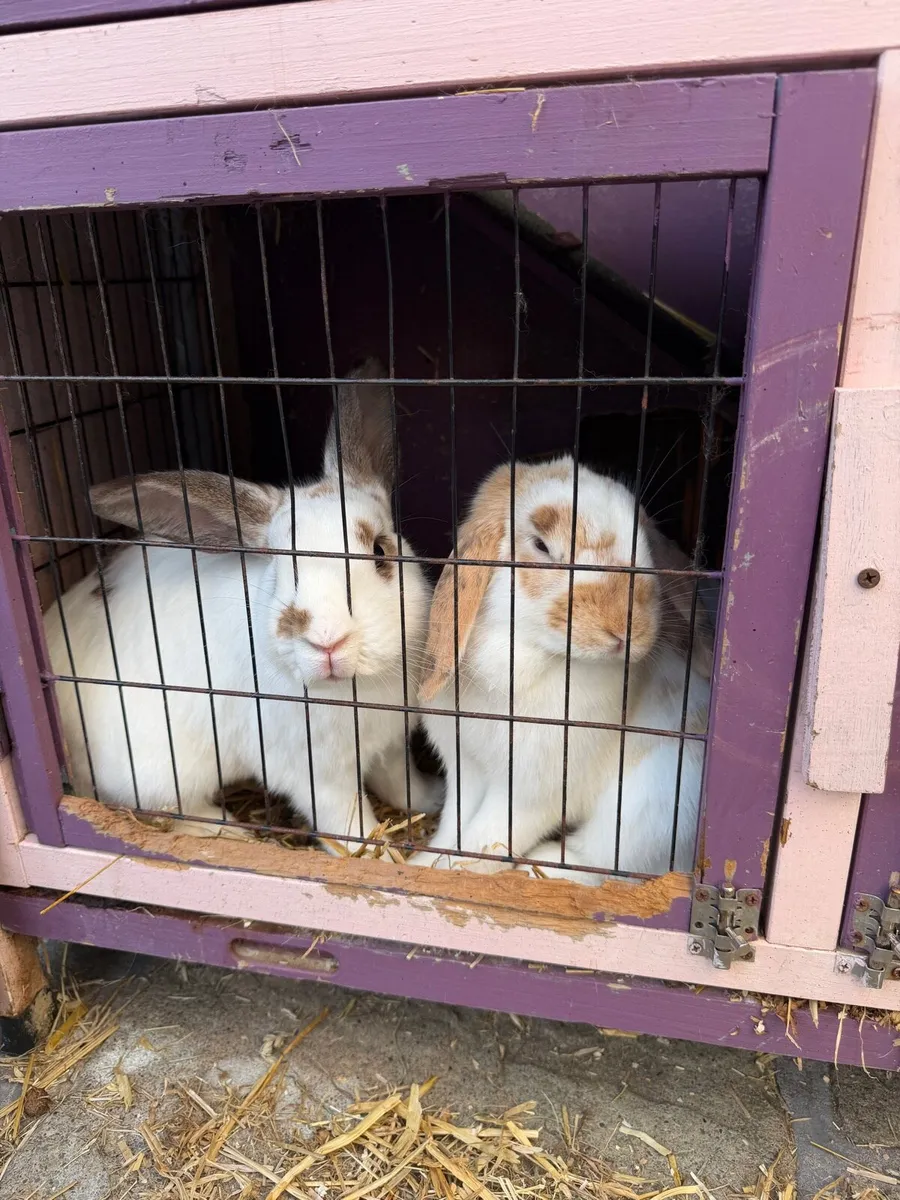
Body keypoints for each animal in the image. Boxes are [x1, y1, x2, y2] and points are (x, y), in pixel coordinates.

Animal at [43, 359, 440, 841]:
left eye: (381, 551)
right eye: (279, 567)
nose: (328, 641)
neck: (355, 689)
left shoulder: (389, 746)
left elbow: (401, 783)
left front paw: (434, 799)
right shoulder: (313, 774)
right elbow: (345, 822)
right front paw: (370, 849)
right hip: (157, 770)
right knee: (173, 809)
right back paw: (230, 830)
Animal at [408, 457, 709, 876]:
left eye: (644, 542)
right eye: (540, 545)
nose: (626, 627)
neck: (520, 667)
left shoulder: (527, 794)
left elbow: (485, 839)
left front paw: (443, 871)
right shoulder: (465, 768)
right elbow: (455, 827)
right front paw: (424, 860)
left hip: (649, 806)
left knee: (602, 864)